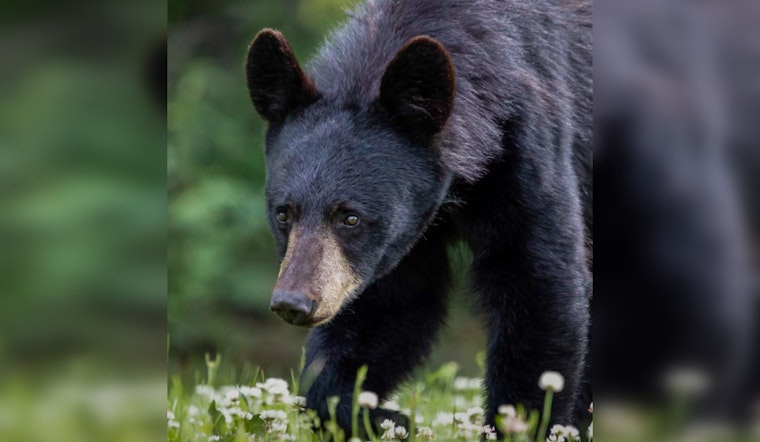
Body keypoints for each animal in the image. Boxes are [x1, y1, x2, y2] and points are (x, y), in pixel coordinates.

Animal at [245, 0, 592, 437]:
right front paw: (379, 416)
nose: (294, 303)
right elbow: (390, 304)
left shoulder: (527, 145)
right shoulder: (397, 237)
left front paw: (520, 424)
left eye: (350, 217)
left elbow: (538, 280)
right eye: (284, 213)